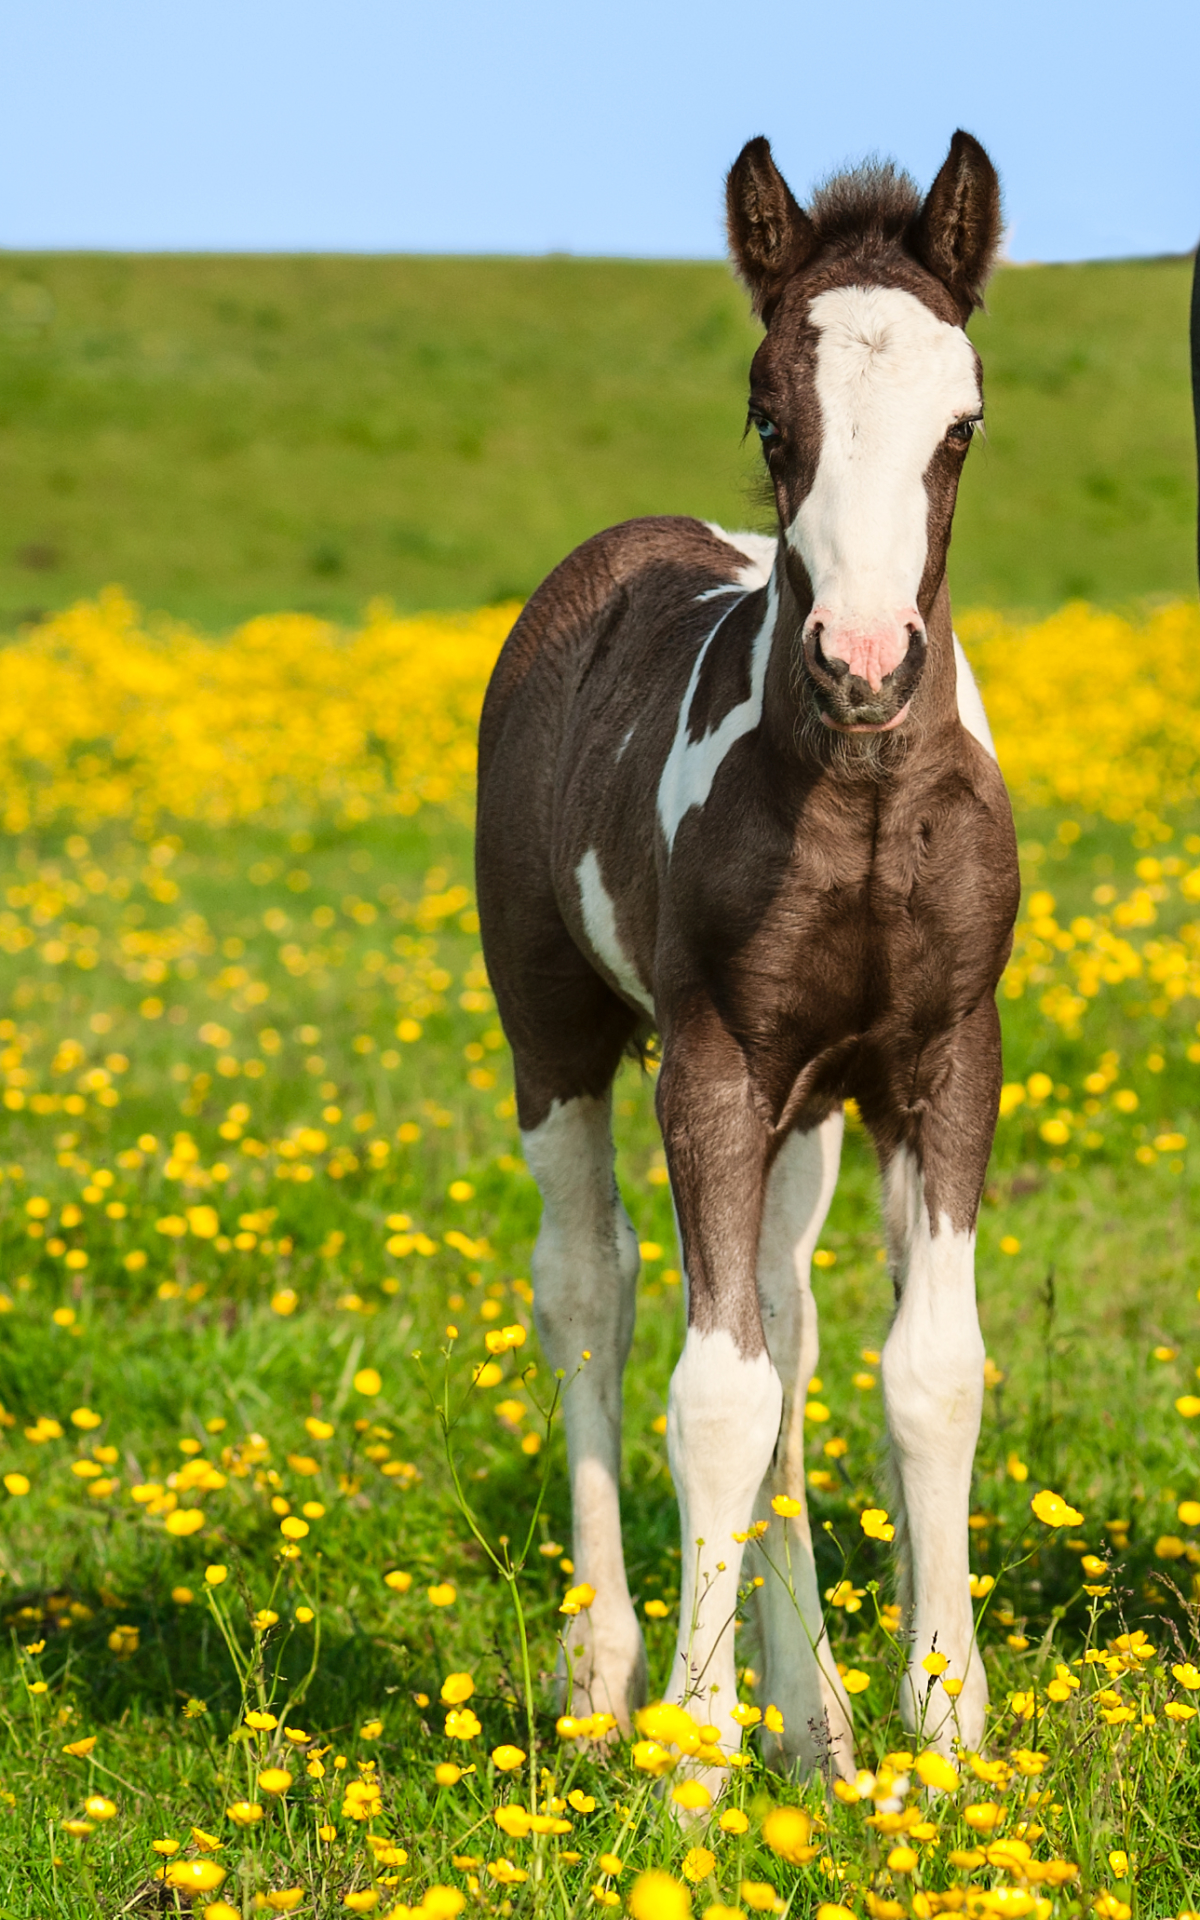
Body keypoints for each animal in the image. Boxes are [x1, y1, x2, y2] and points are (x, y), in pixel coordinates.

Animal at [476, 129, 1019, 1778]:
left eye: (963, 423)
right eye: (771, 417)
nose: (865, 662)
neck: (862, 803)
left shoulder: (941, 1061)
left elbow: (921, 1371)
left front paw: (941, 1735)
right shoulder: (713, 1065)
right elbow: (711, 1392)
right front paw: (695, 1767)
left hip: (812, 1115)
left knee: (789, 1325)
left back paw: (814, 1720)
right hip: (555, 1034)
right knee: (590, 1292)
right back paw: (609, 1684)